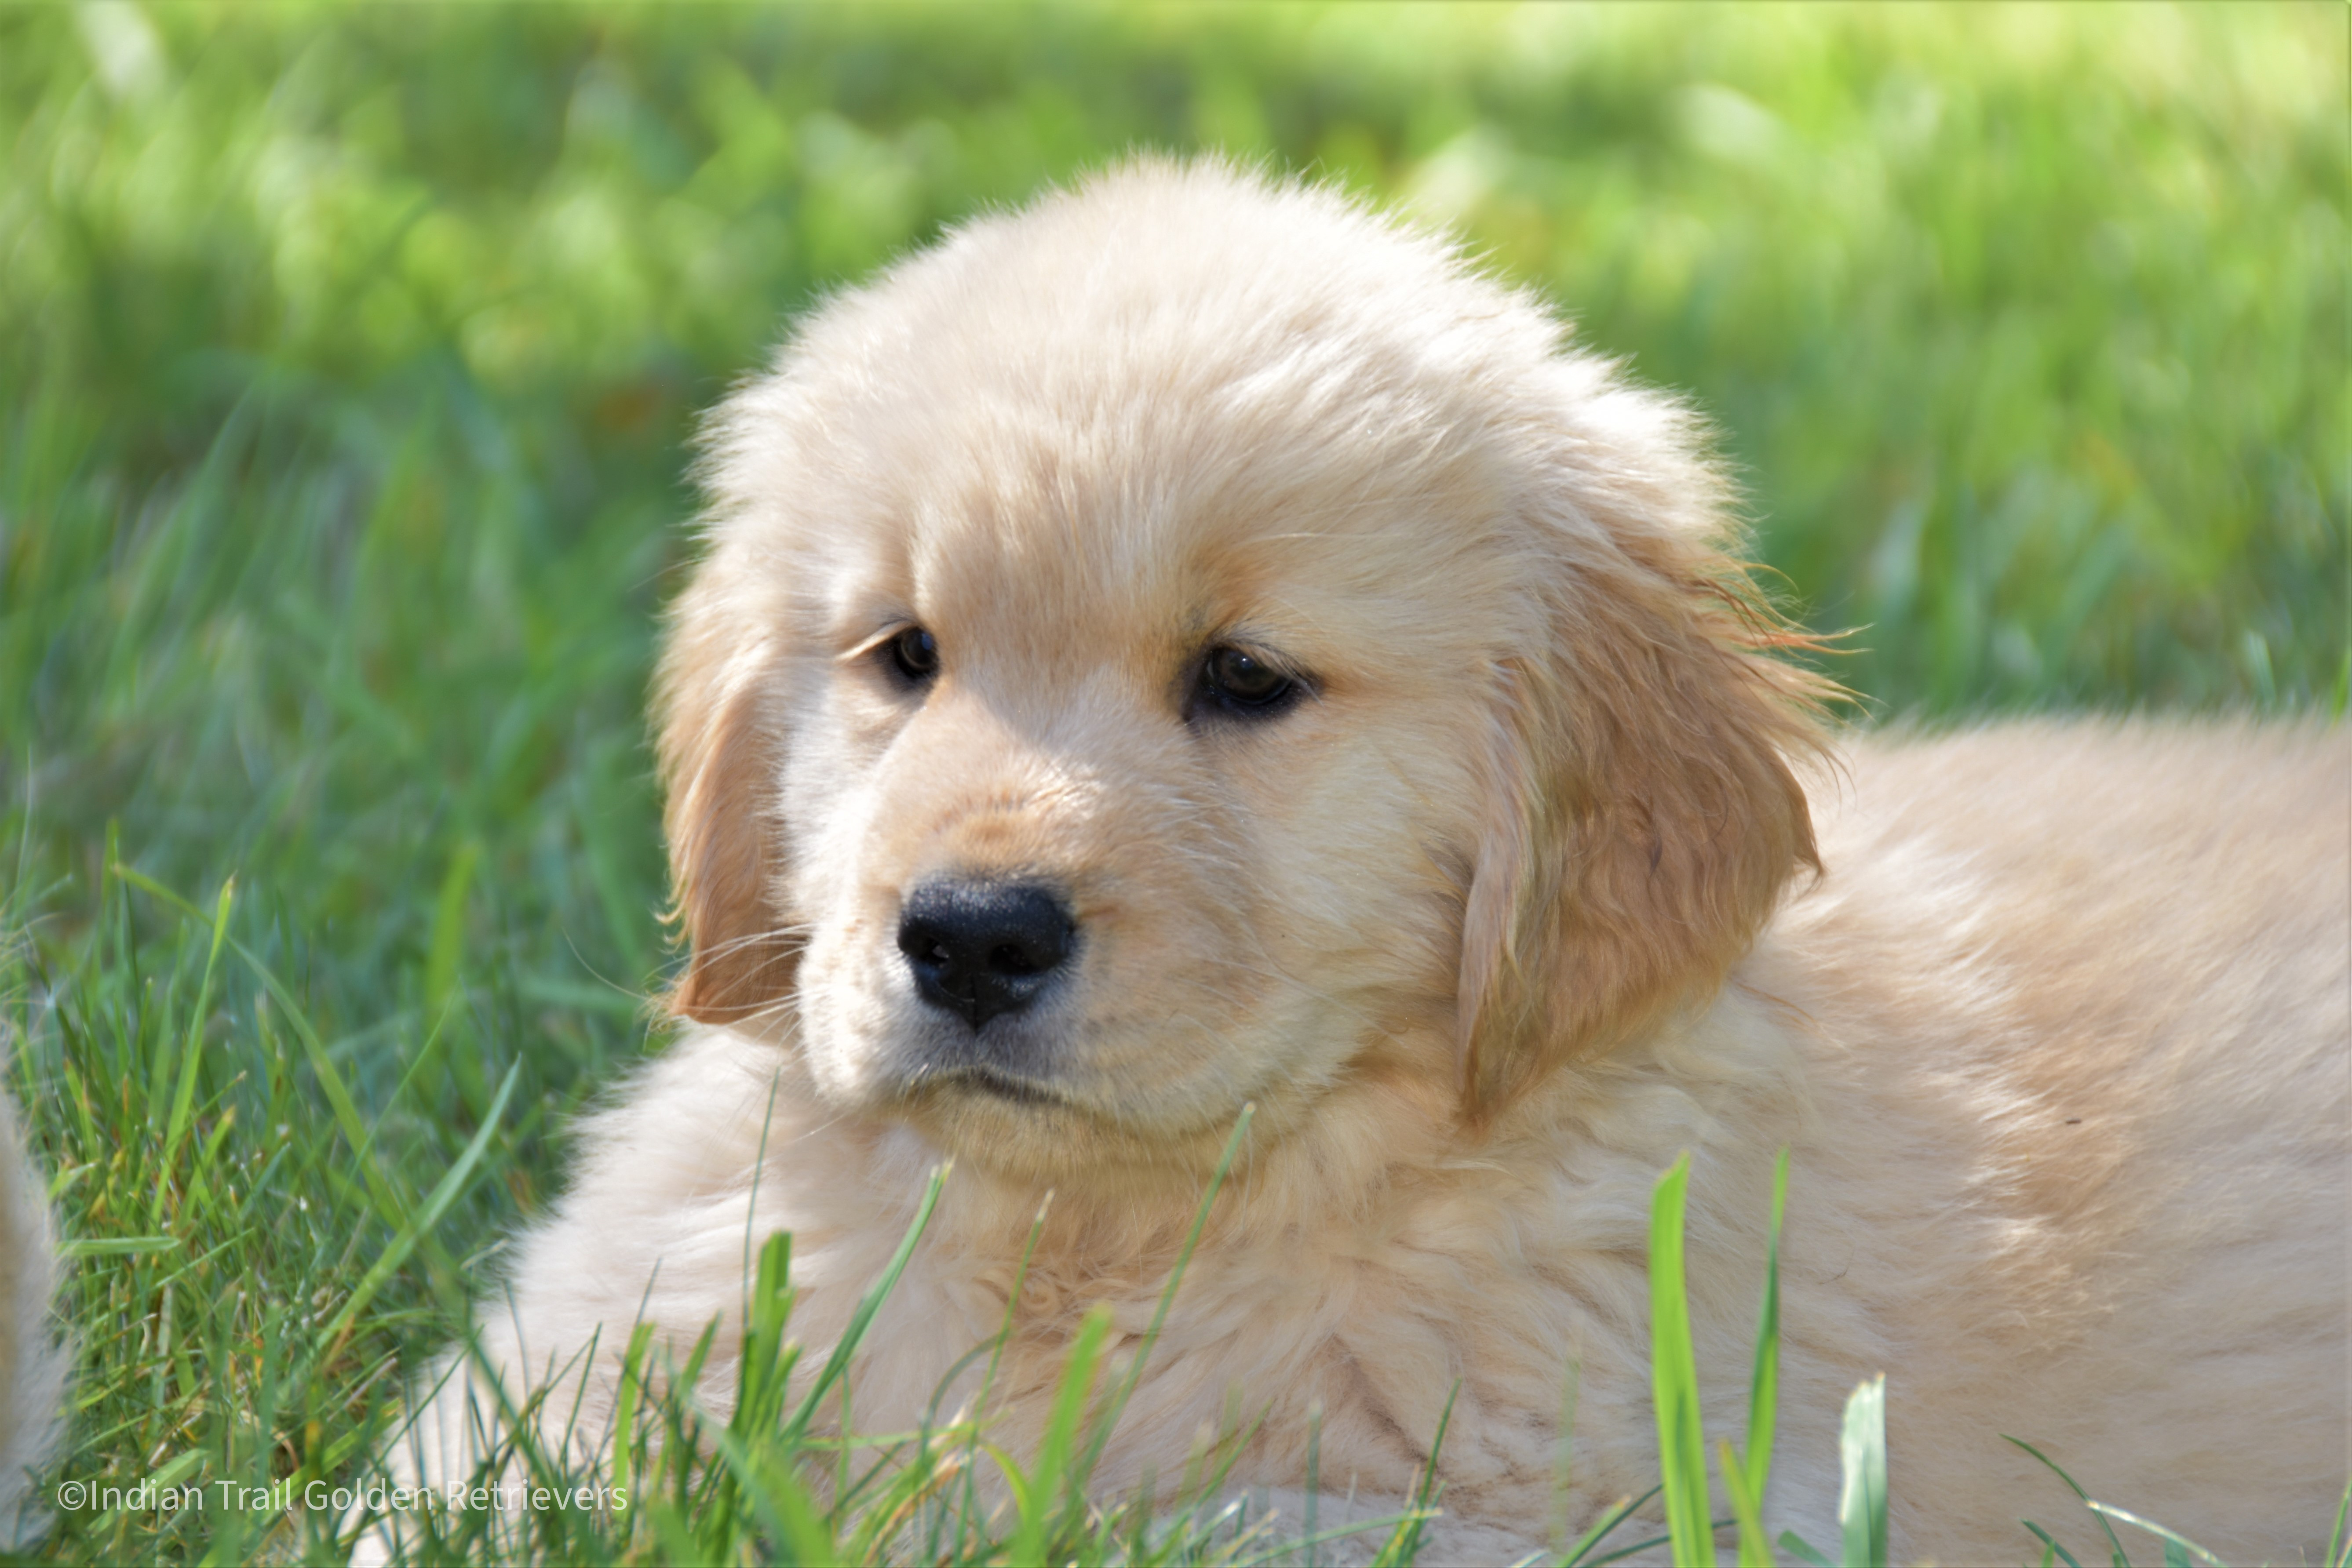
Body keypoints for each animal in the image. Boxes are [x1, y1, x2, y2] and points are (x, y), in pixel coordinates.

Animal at [395, 166, 2342, 1561]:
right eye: (902, 655)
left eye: (1246, 680)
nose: (964, 937)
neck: (1108, 1227)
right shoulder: (575, 1342)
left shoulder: (1631, 1502)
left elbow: (1194, 1517)